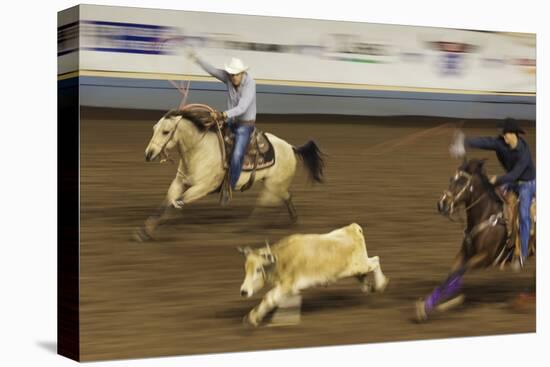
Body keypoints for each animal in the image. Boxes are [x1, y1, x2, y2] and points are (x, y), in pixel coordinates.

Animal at [132, 105, 326, 243]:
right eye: (154, 129)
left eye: (166, 131)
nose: (148, 154)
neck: (199, 151)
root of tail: (291, 148)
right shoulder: (180, 182)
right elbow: (167, 202)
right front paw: (146, 231)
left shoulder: (202, 188)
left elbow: (175, 203)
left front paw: (154, 228)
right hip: (277, 185)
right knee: (287, 197)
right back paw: (293, 220)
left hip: (272, 186)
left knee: (264, 205)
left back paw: (243, 228)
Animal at [416, 158, 536, 322]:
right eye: (451, 179)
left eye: (461, 182)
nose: (442, 204)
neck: (488, 215)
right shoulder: (464, 253)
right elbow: (451, 274)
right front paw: (427, 306)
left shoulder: (486, 257)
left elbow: (460, 271)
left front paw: (446, 302)